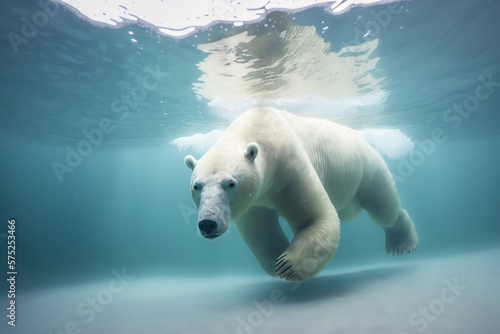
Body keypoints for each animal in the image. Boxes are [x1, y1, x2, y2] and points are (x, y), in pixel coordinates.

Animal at [185, 107, 418, 282]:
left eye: (230, 183)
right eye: (197, 186)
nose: (208, 223)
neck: (256, 127)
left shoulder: (288, 168)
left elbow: (316, 216)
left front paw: (288, 266)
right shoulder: (255, 198)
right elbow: (260, 230)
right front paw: (275, 260)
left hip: (366, 166)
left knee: (382, 207)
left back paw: (401, 242)